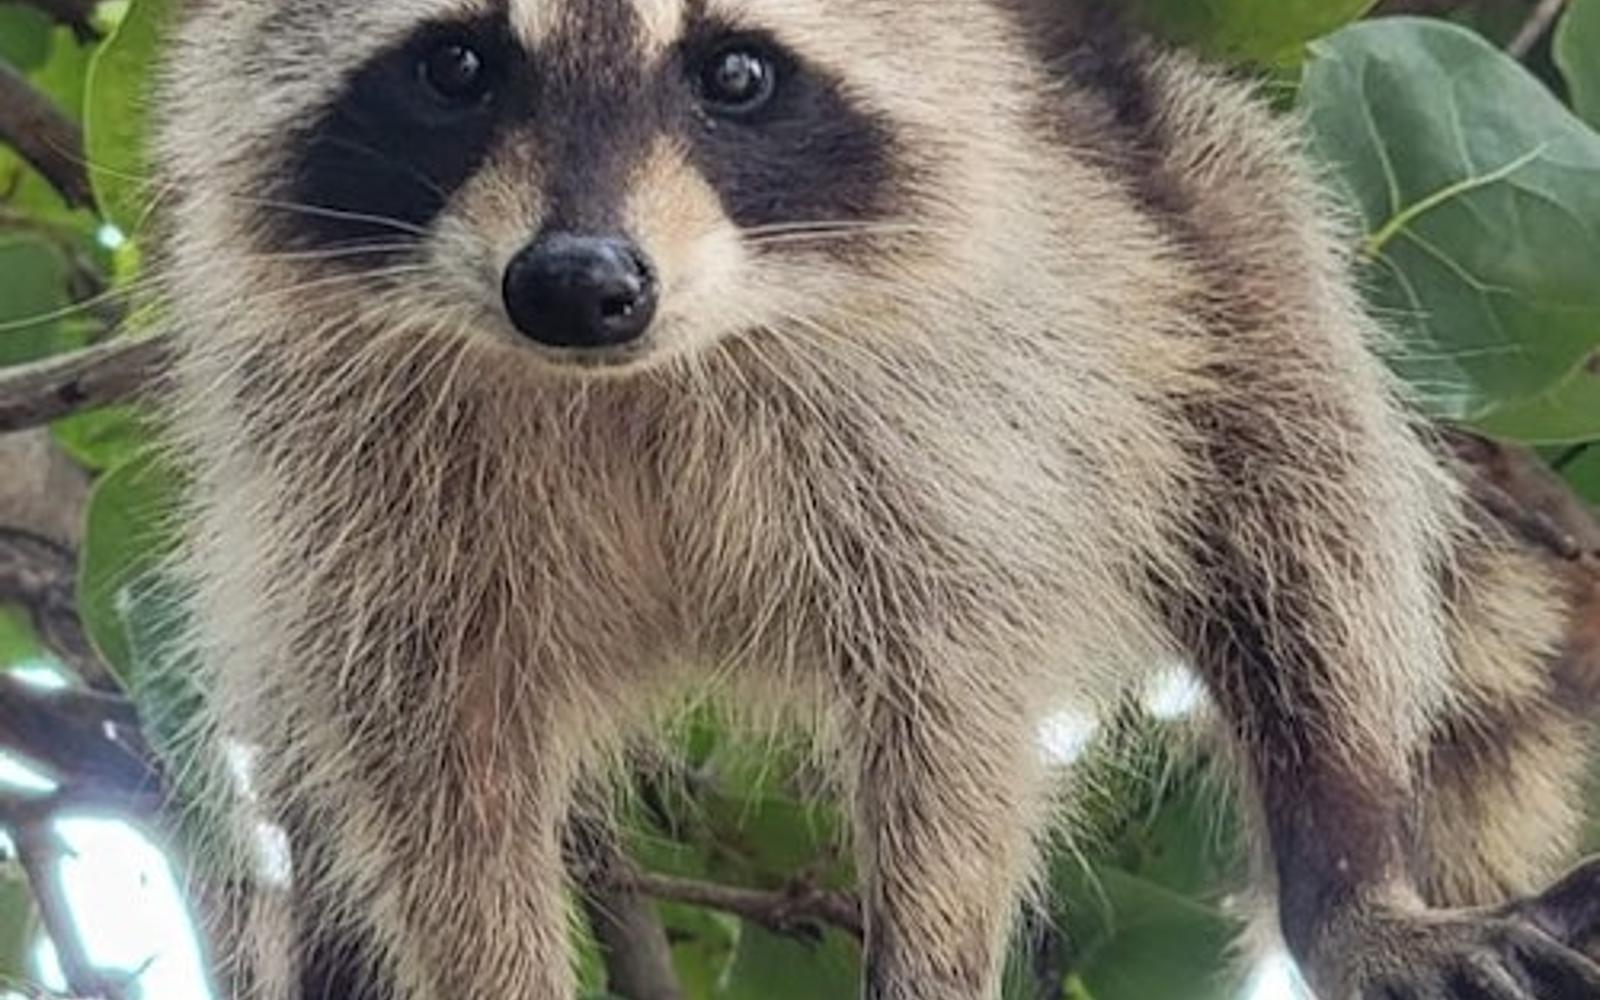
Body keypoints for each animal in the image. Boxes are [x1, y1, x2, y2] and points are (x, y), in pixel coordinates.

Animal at [153, 0, 1600, 997]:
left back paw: (1342, 868)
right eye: (456, 65)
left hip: (1200, 200)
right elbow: (425, 757)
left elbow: (954, 708)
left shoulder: (964, 417)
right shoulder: (343, 480)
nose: (577, 282)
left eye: (735, 73)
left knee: (1304, 497)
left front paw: (937, 948)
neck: (636, 378)